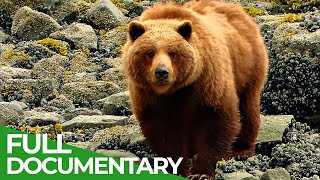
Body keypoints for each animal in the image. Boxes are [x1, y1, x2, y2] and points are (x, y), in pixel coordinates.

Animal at [121, 0, 268, 179]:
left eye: (172, 52)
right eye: (150, 52)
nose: (162, 72)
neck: (173, 91)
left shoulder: (207, 81)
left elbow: (217, 121)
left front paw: (201, 172)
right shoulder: (148, 96)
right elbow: (163, 133)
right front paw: (176, 168)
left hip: (247, 66)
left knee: (247, 107)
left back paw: (241, 149)